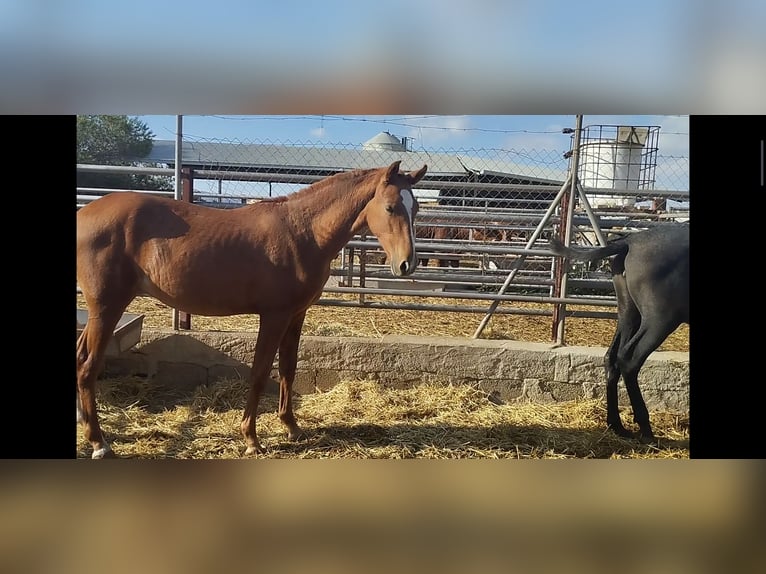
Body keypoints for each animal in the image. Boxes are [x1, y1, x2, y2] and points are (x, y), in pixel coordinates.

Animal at [77, 161, 428, 460]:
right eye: (390, 207)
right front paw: (251, 438)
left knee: (80, 358)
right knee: (88, 367)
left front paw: (291, 427)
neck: (303, 232)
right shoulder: (274, 316)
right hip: (107, 307)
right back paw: (99, 443)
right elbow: (260, 373)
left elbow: (288, 368)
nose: (406, 264)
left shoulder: (296, 315)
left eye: (416, 208)